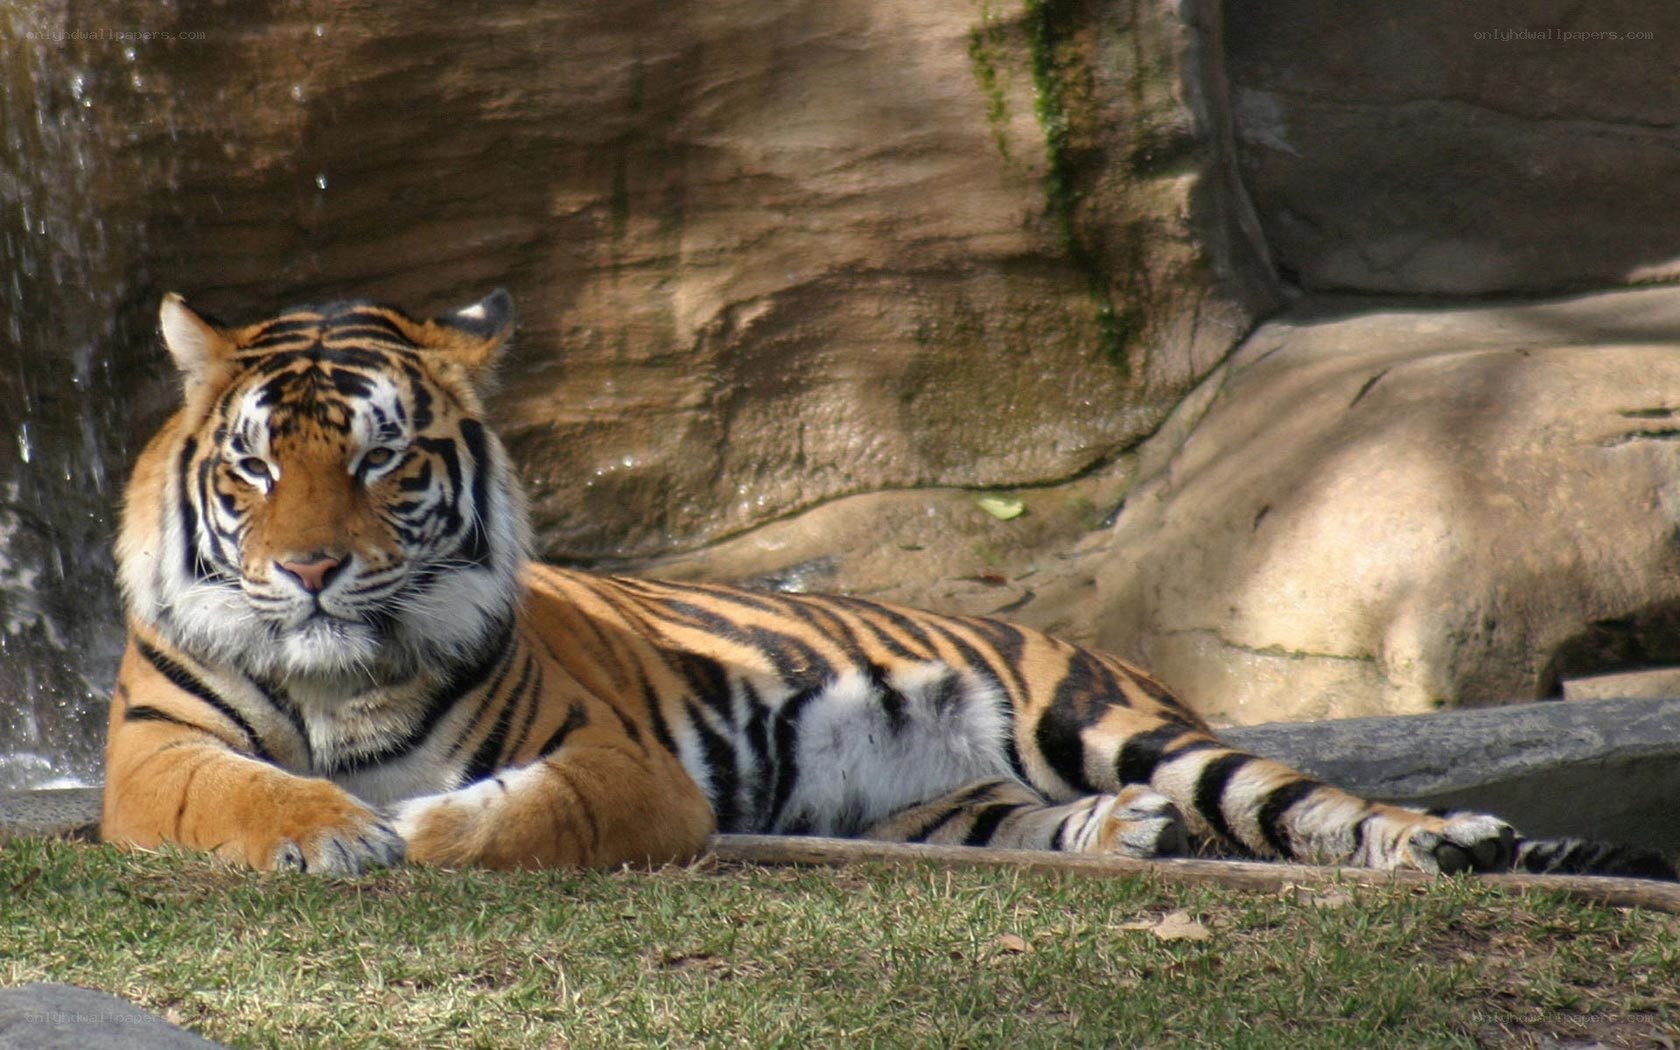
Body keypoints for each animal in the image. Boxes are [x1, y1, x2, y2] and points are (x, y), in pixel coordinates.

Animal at [101, 290, 1674, 881]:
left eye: (380, 461)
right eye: (255, 468)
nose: (309, 569)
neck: (342, 673)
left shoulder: (610, 762)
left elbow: (514, 811)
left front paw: (417, 827)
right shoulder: (149, 755)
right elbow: (240, 794)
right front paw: (330, 832)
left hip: (1107, 717)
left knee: (1305, 799)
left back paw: (1443, 840)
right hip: (946, 800)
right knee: (1051, 821)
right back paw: (1128, 836)